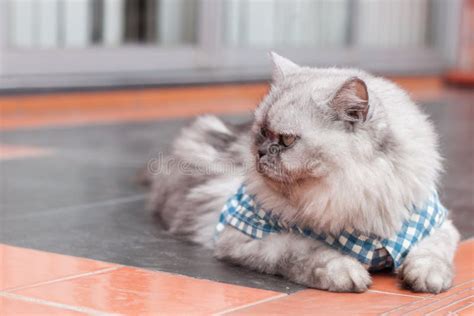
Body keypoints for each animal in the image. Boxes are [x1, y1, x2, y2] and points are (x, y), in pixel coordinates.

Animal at [148, 52, 460, 294]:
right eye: (262, 132)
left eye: (286, 140)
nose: (261, 152)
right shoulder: (245, 236)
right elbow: (307, 249)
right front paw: (346, 272)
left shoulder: (438, 225)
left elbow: (432, 253)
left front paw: (427, 277)